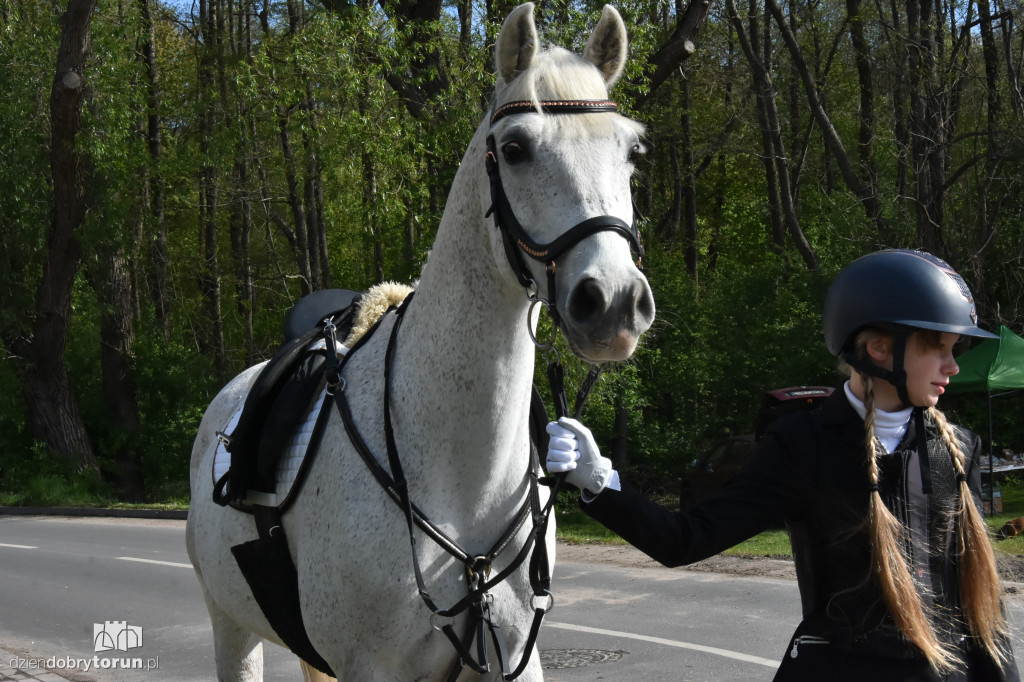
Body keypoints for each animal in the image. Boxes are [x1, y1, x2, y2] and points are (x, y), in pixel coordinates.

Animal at [187, 3, 651, 675]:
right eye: (515, 149)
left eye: (632, 152)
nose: (613, 302)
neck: (461, 477)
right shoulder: (371, 666)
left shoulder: (516, 654)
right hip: (231, 628)